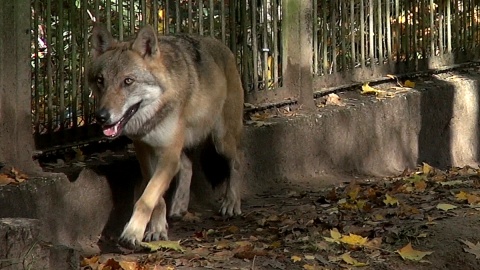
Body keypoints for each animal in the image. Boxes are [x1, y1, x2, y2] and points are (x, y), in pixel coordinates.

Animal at [88, 24, 244, 248]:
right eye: (101, 81)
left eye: (128, 81)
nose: (101, 116)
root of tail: (221, 44)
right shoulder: (144, 151)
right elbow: (156, 198)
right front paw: (157, 229)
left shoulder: (168, 154)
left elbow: (146, 199)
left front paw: (132, 233)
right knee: (187, 165)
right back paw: (179, 207)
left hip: (221, 141)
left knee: (237, 160)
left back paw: (232, 203)